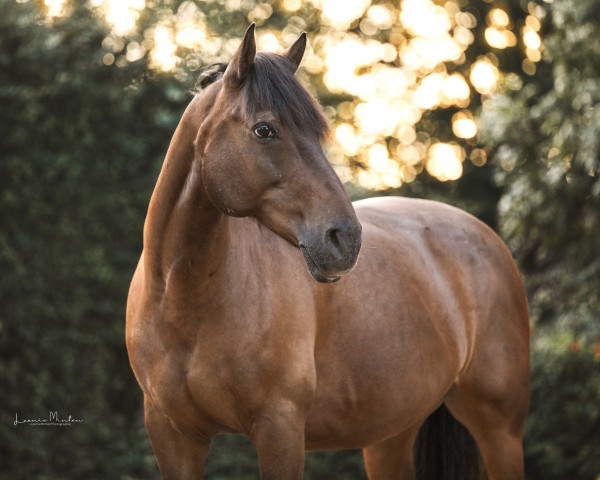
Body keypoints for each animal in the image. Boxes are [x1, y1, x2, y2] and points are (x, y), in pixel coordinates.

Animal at [126, 24, 528, 478]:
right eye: (264, 130)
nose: (345, 239)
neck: (182, 297)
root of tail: (486, 237)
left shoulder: (280, 427)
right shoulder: (174, 436)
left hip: (499, 430)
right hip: (390, 435)